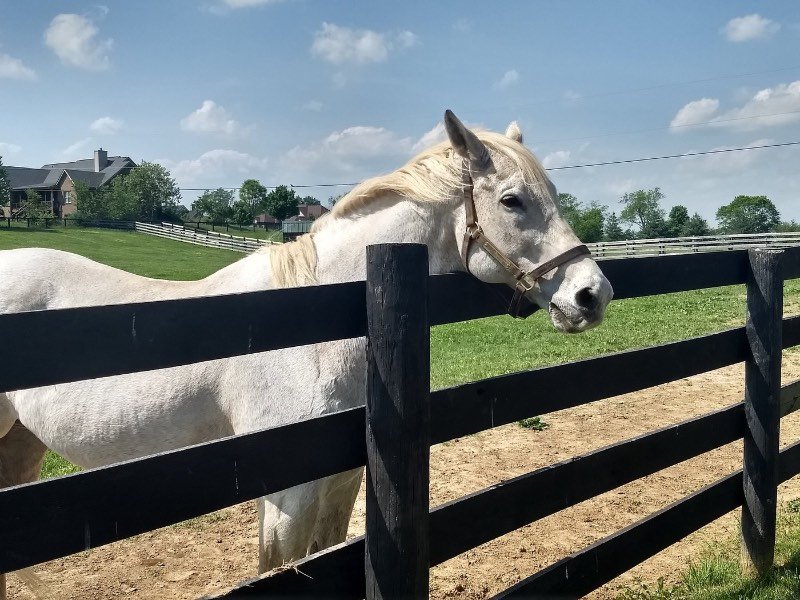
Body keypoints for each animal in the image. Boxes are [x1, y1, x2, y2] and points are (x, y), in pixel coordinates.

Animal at [0, 111, 613, 590]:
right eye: (512, 201)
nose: (592, 294)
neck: (313, 329)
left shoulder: (341, 481)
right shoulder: (287, 494)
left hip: (21, 446)